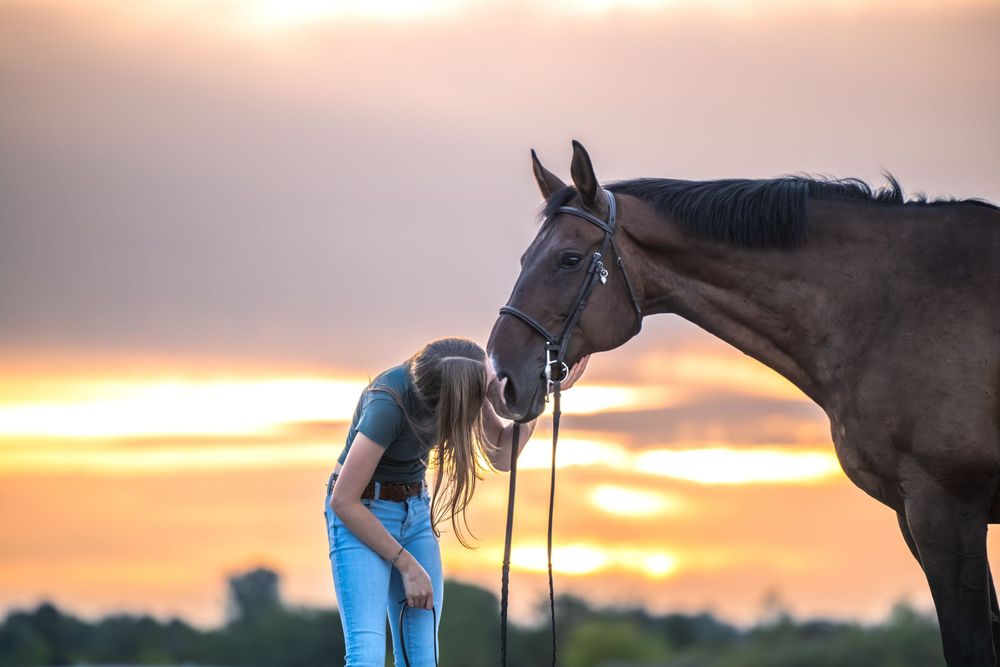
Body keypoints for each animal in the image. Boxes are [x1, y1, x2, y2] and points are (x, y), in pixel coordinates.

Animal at [486, 141, 1000, 666]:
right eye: (525, 257)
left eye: (569, 259)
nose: (501, 377)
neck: (890, 307)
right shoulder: (918, 513)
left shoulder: (943, 503)